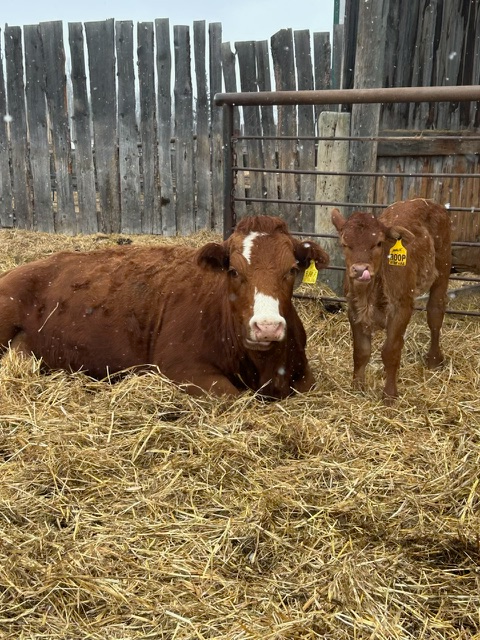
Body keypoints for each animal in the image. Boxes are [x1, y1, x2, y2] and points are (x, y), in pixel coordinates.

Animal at [0, 215, 329, 399]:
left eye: (292, 270)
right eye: (234, 271)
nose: (267, 327)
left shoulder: (304, 374)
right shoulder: (179, 365)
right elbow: (231, 396)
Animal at [331, 198, 451, 404]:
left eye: (378, 243)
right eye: (345, 243)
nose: (360, 269)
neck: (369, 294)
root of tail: (428, 202)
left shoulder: (401, 308)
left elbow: (390, 351)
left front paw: (389, 395)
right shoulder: (353, 309)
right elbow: (361, 351)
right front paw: (357, 386)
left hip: (443, 266)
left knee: (435, 314)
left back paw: (434, 359)